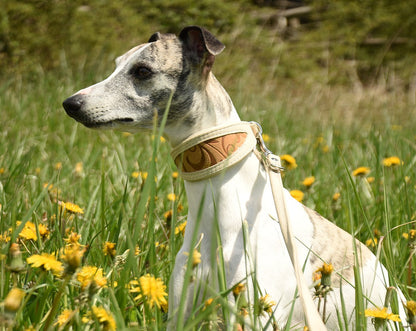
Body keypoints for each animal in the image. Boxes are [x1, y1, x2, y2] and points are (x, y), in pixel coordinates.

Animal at [63, 25, 404, 330]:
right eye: (117, 64)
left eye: (143, 71)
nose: (70, 103)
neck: (220, 203)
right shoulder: (182, 309)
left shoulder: (257, 312)